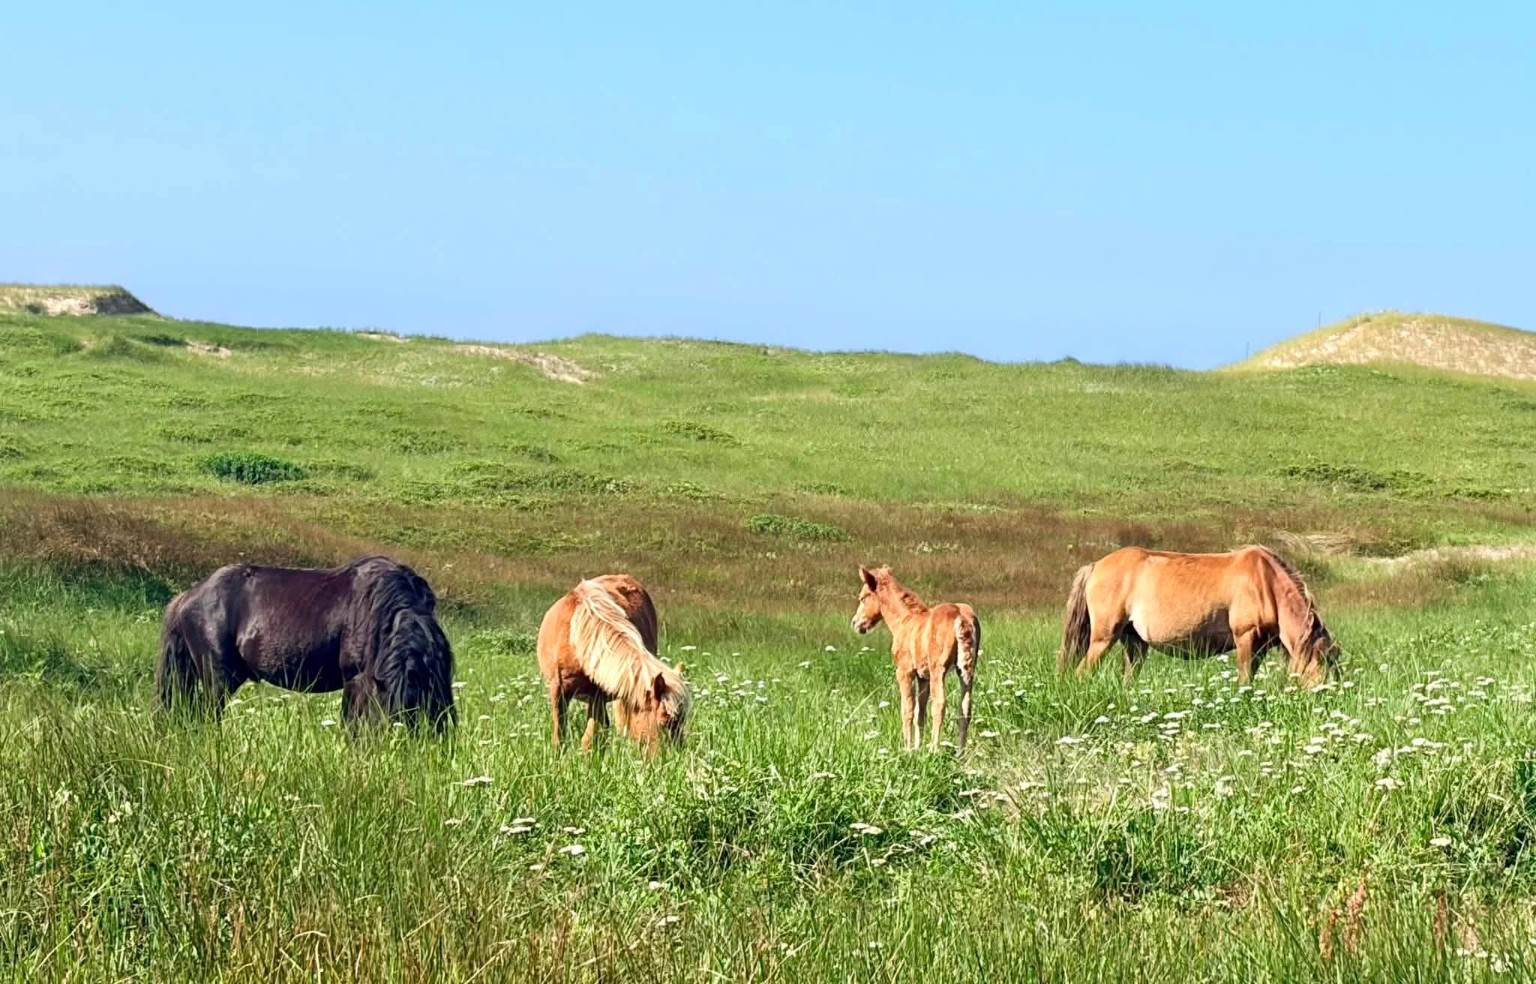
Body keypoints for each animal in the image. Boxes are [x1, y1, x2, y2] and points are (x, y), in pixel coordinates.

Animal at [537, 574, 690, 753]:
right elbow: (560, 736)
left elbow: (590, 739)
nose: (677, 756)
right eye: (665, 722)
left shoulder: (598, 697)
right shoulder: (558, 691)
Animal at [850, 566, 981, 752]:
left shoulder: (904, 672)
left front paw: (908, 749)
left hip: (938, 669)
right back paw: (959, 752)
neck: (903, 620)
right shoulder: (922, 676)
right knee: (965, 708)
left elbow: (908, 710)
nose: (855, 623)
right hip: (966, 669)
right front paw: (918, 748)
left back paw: (934, 749)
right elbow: (920, 711)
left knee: (939, 704)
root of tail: (961, 617)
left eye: (863, 598)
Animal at [1057, 545, 1339, 687]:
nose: (1333, 694)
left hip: (1134, 642)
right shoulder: (1245, 639)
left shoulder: (1260, 647)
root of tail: (1095, 566)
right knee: (1082, 673)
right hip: (1103, 639)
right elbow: (1244, 681)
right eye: (1324, 659)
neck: (1265, 581)